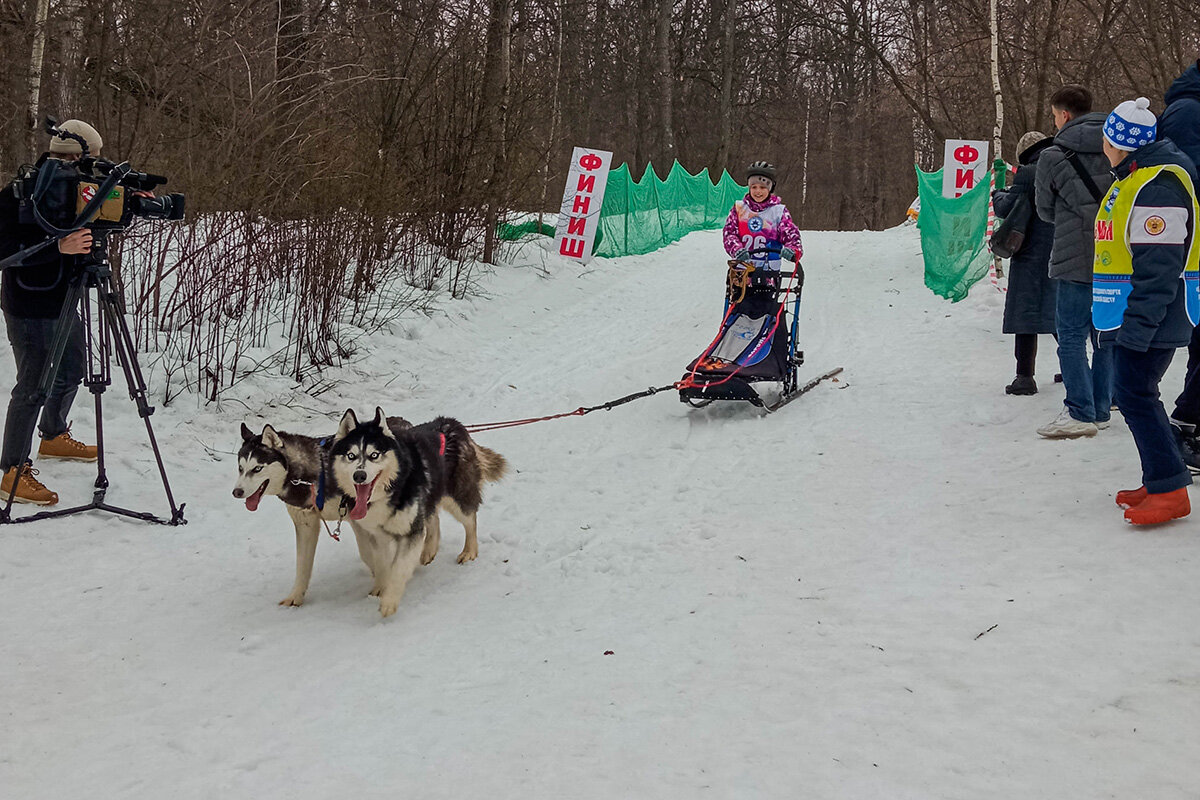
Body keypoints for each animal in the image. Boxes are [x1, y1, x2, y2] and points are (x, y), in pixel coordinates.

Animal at [231, 419, 410, 606]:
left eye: (257, 468)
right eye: (240, 468)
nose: (237, 492)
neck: (314, 476)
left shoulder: (359, 520)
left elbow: (368, 553)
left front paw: (383, 582)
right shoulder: (305, 524)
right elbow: (302, 565)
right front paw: (295, 597)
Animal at [328, 407, 506, 618]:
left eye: (374, 455)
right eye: (351, 456)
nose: (359, 476)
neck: (393, 487)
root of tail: (451, 422)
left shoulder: (410, 533)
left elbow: (399, 567)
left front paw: (389, 601)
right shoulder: (376, 534)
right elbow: (380, 563)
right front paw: (380, 586)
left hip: (456, 498)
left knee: (470, 520)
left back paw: (469, 551)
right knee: (433, 518)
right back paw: (429, 549)